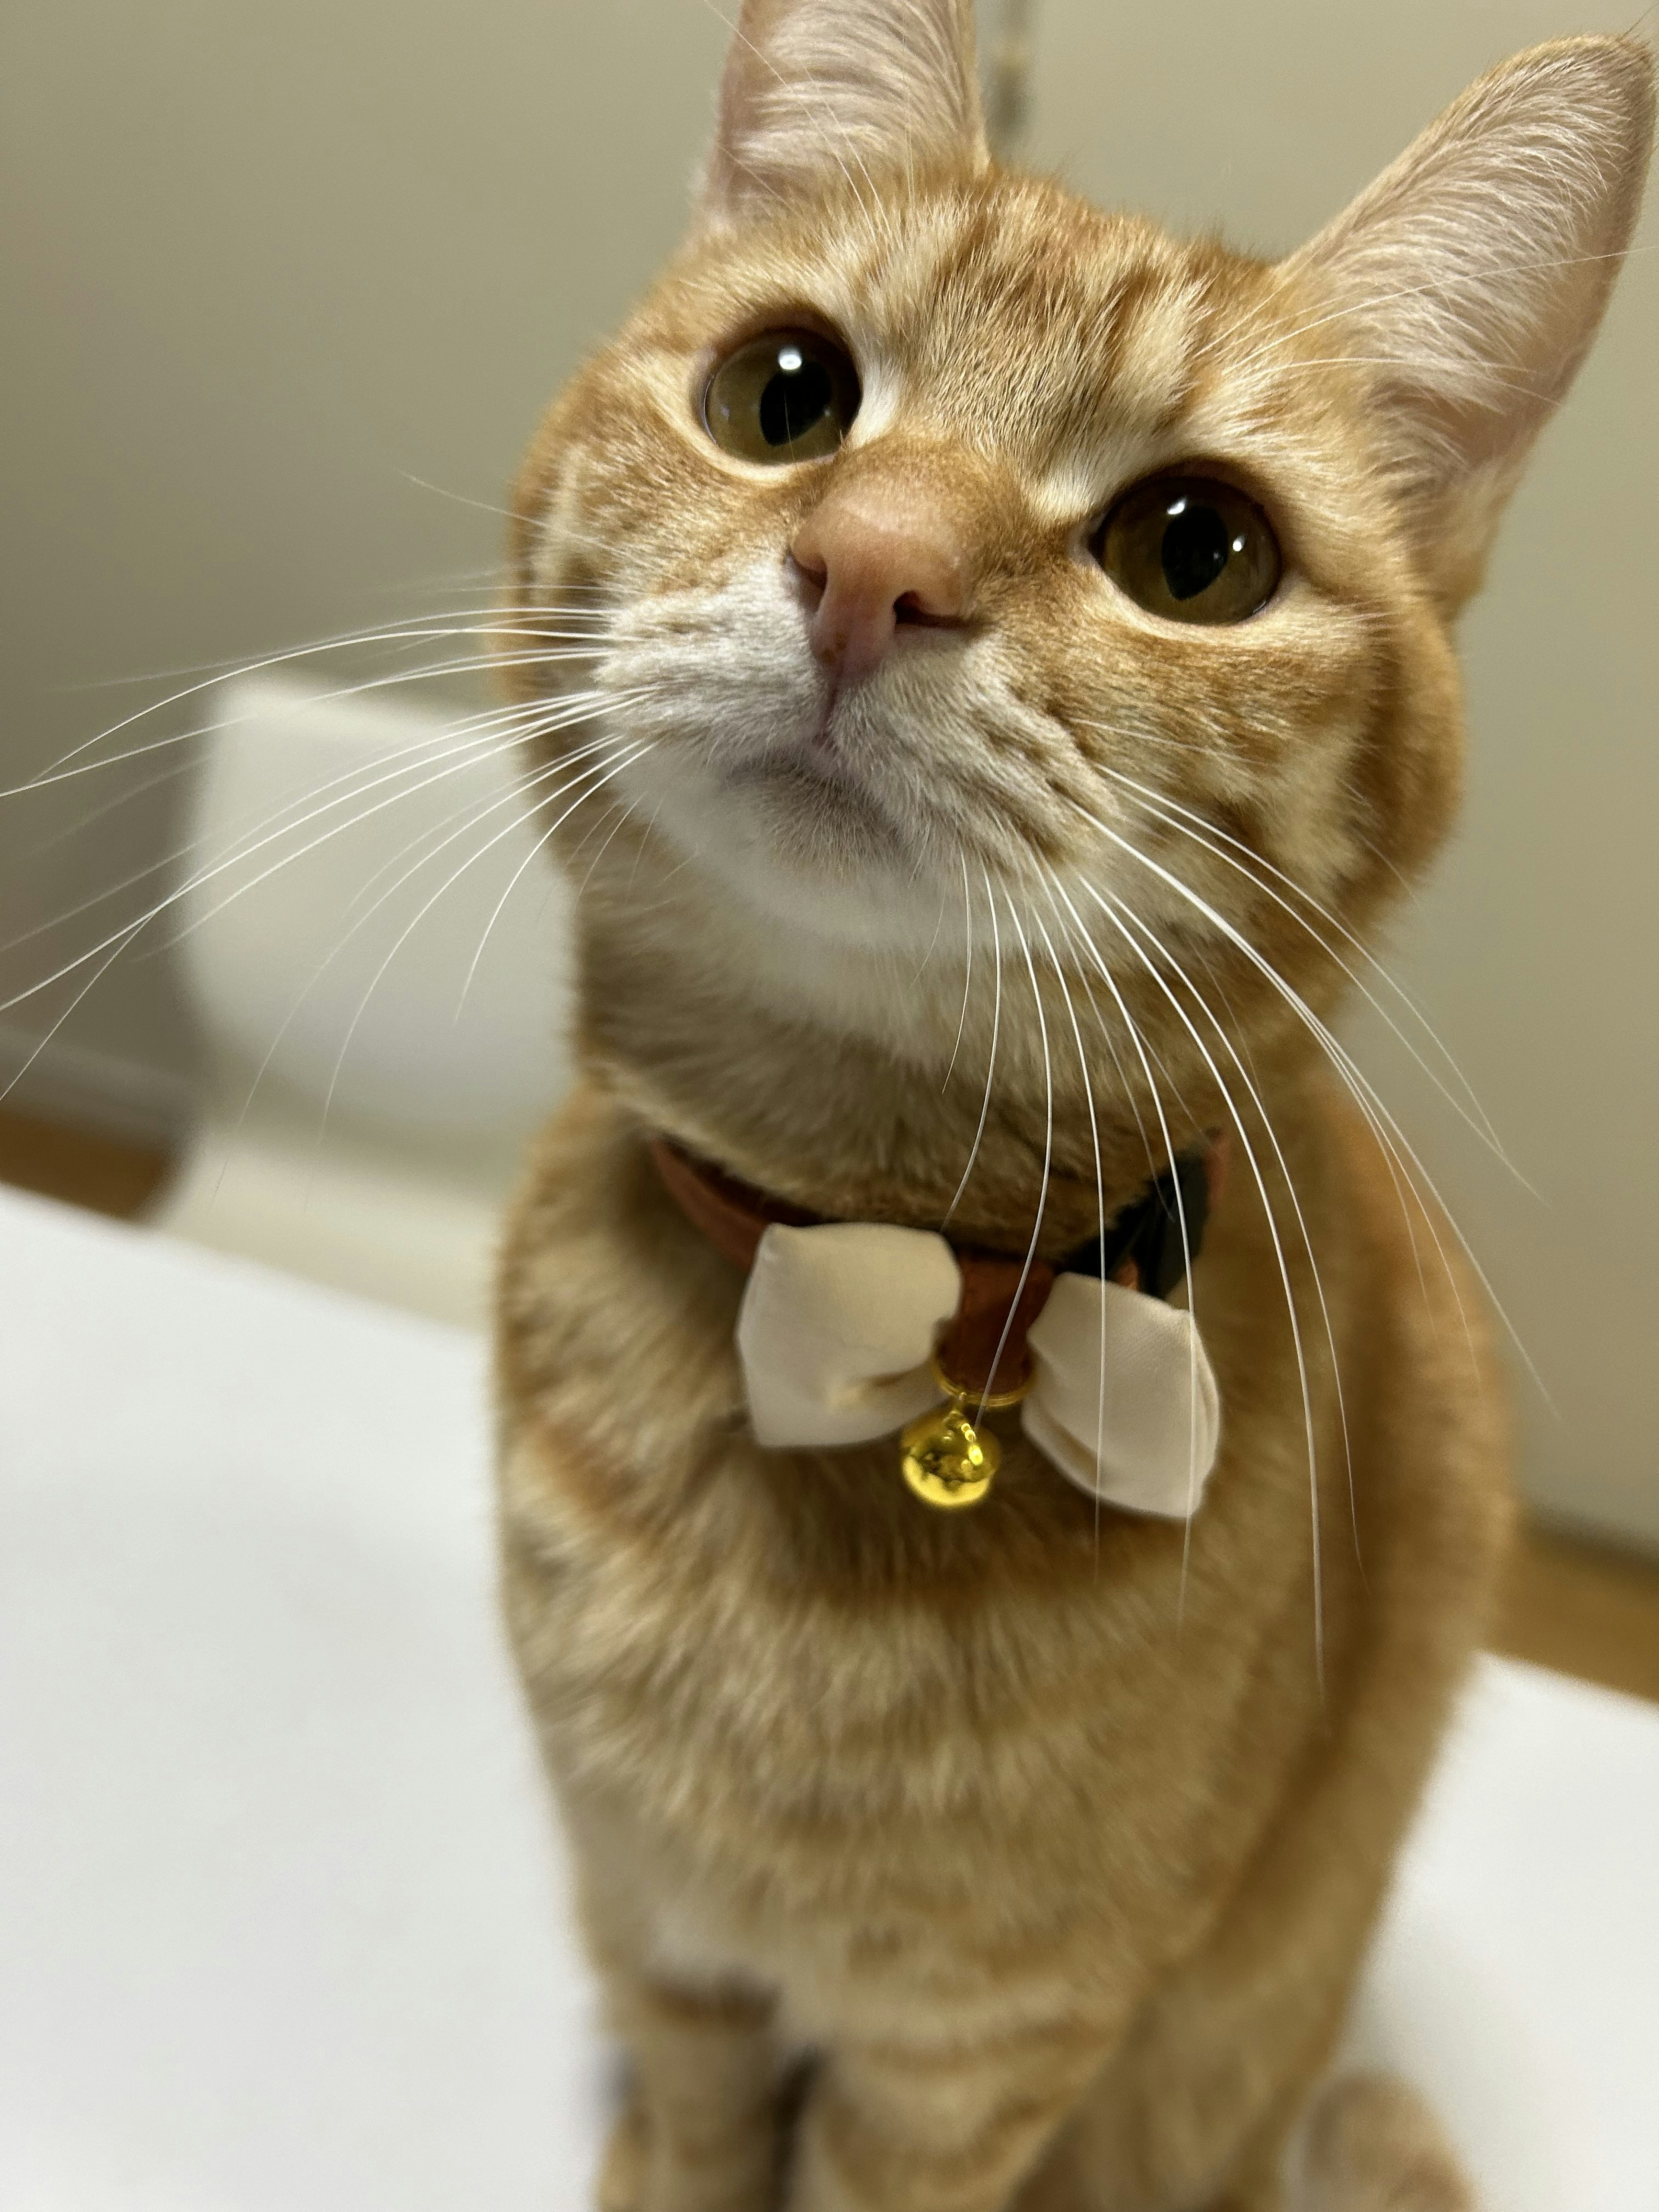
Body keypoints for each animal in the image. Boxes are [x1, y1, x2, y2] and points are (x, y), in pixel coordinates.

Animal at [491, 9, 1654, 2203]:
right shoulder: (657, 1934)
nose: (870, 562)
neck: (842, 1290)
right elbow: (687, 2131)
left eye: (1196, 551)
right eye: (786, 395)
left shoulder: (969, 2064)